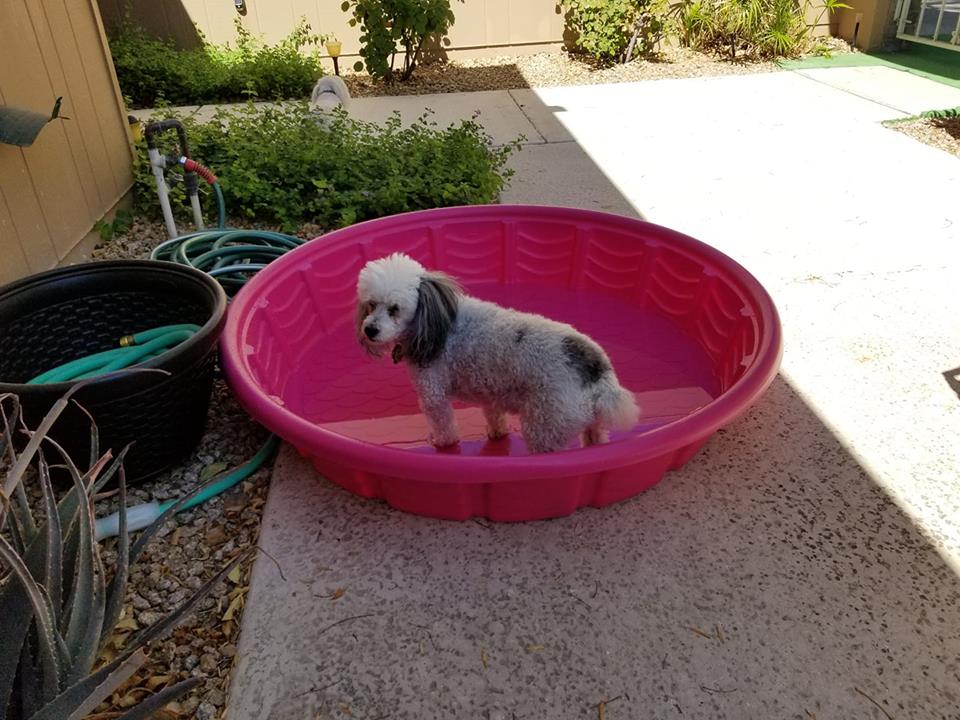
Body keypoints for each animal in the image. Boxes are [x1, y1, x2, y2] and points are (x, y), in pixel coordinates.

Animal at [352, 256, 636, 452]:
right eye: (371, 304)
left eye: (395, 309)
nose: (370, 329)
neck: (436, 323)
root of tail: (596, 368)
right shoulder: (492, 389)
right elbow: (494, 414)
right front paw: (497, 433)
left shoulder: (433, 391)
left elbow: (443, 422)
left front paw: (442, 442)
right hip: (590, 421)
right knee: (595, 437)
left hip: (546, 423)